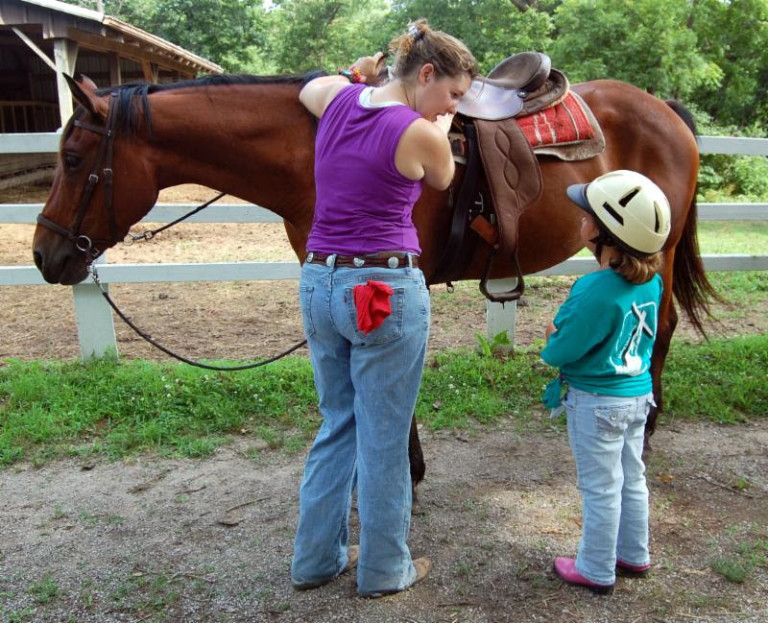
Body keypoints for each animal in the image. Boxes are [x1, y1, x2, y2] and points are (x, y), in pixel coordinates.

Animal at [32, 72, 714, 486]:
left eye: (73, 159)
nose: (45, 255)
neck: (320, 149)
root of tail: (662, 108)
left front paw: (400, 469)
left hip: (657, 246)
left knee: (663, 323)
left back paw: (648, 427)